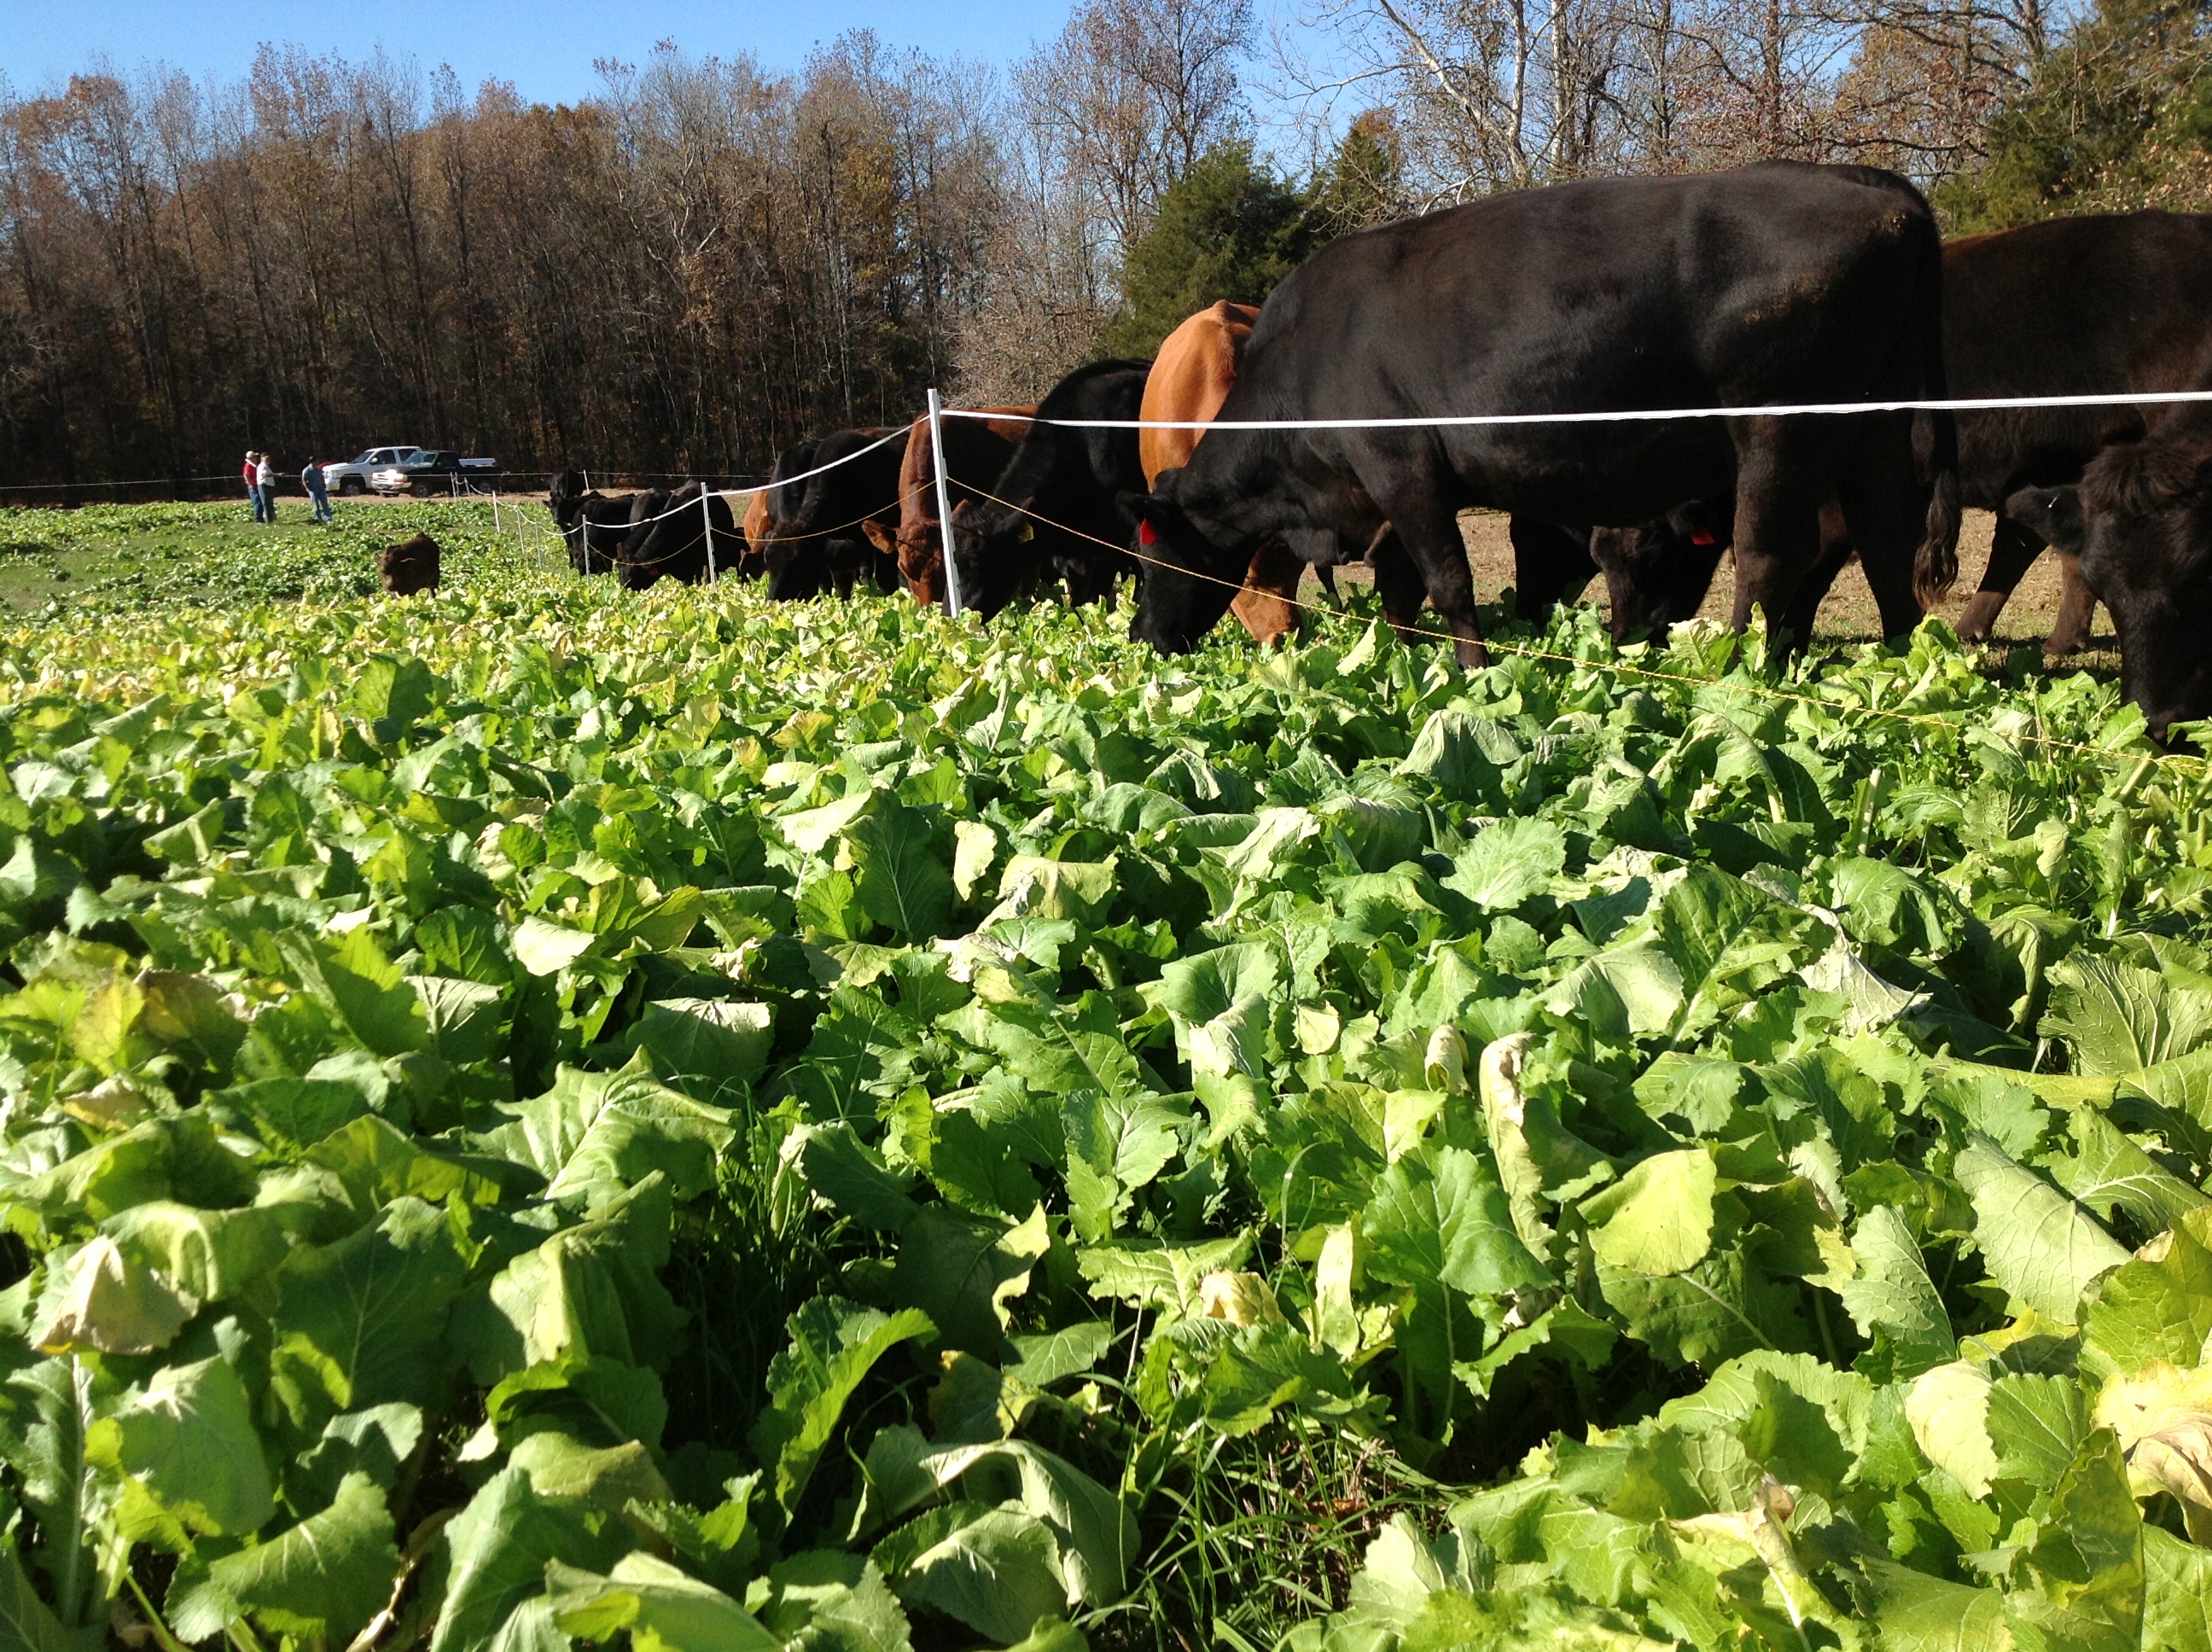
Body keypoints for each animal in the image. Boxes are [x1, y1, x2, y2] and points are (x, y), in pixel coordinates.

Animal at [1123, 161, 1955, 663]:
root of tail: (1881, 191)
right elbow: (1402, 590)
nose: (1143, 636)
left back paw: (1734, 669)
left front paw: (1471, 671)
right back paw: (1905, 671)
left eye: (1150, 558)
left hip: (1777, 424)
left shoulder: (1402, 468)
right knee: (1886, 545)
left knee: (1769, 555)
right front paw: (1402, 663)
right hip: (1878, 423)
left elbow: (1449, 583)